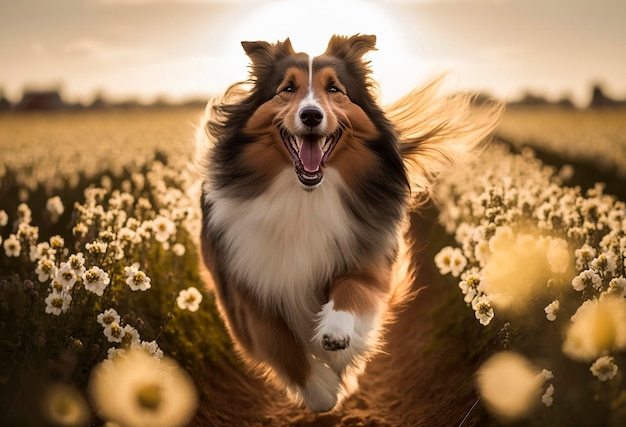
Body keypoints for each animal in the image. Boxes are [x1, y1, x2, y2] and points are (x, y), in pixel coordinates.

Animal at [197, 33, 500, 412]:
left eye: (335, 89)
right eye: (287, 89)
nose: (311, 115)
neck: (304, 197)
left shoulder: (368, 258)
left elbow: (352, 290)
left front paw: (337, 337)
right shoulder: (244, 290)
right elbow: (280, 345)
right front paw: (322, 392)